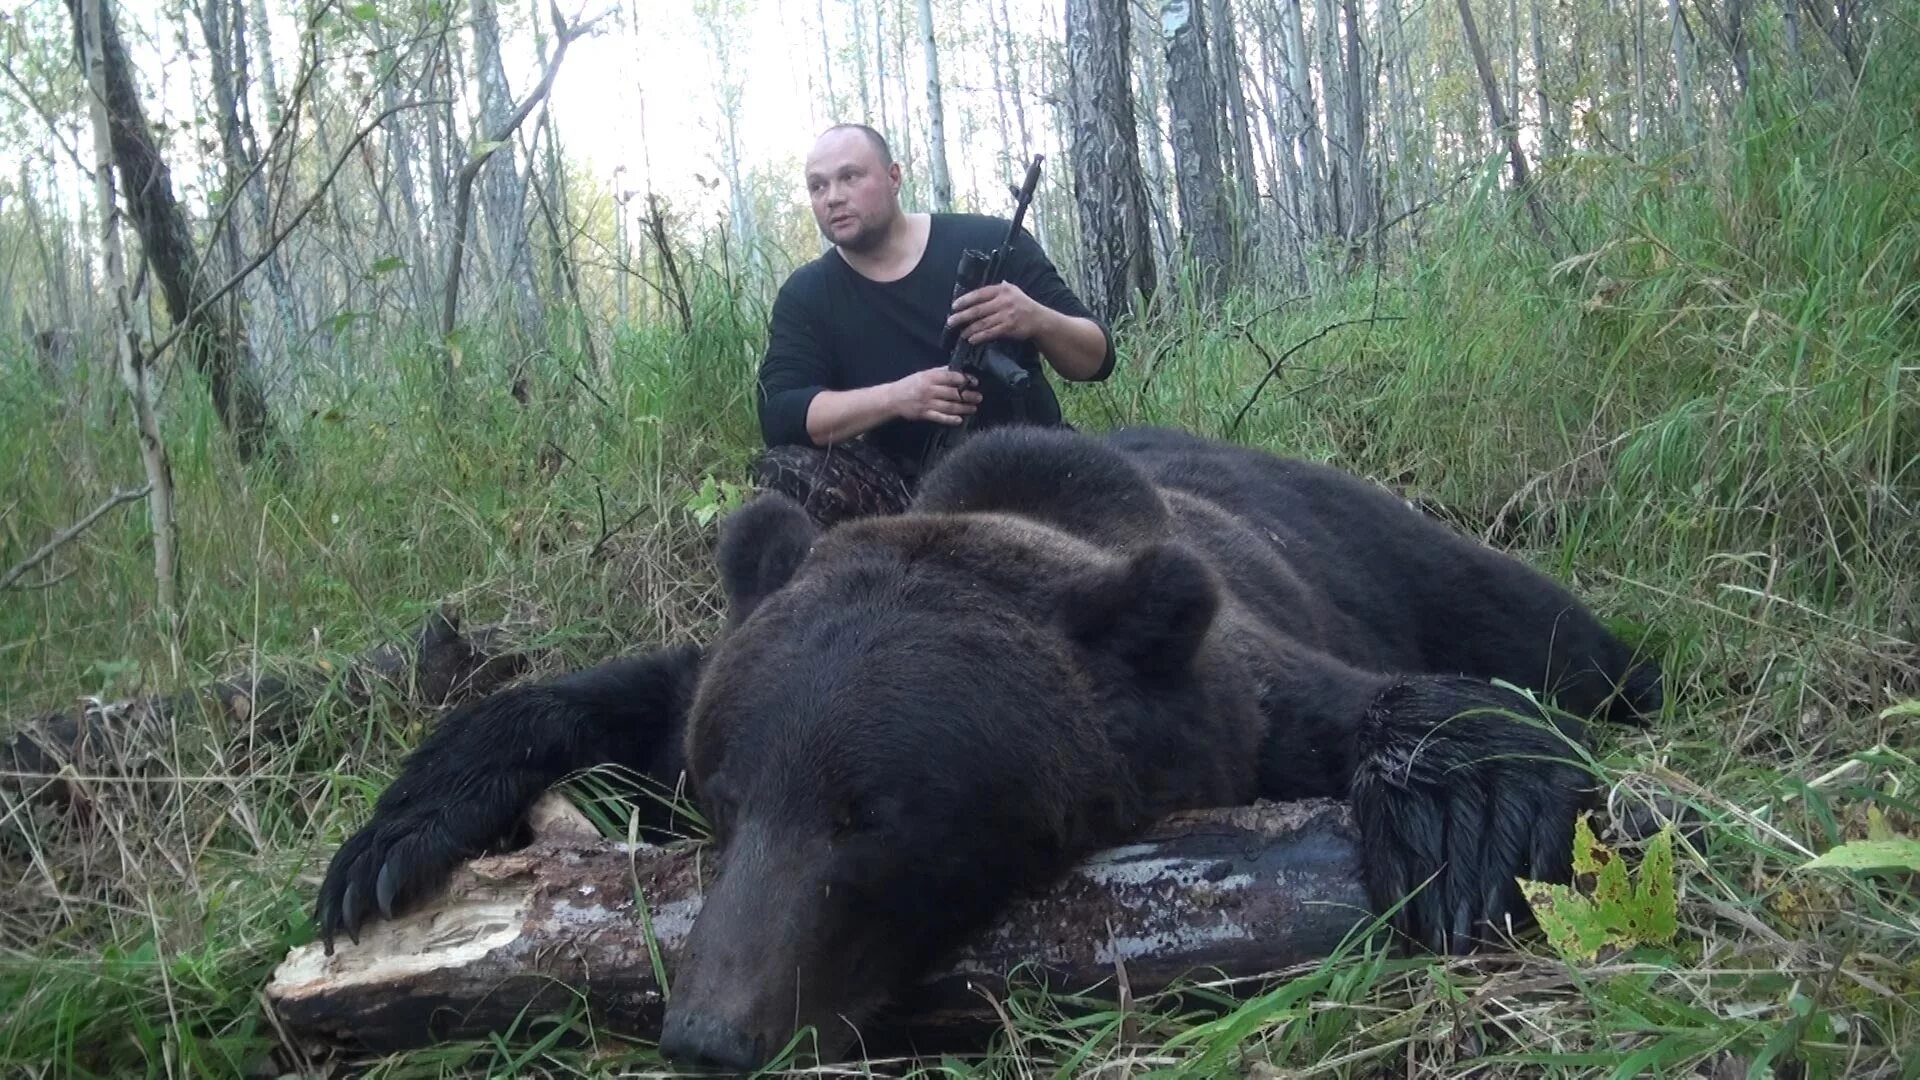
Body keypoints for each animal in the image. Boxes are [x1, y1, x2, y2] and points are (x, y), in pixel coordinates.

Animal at [311, 420, 1651, 1068]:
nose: (709, 1039)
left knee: (1556, 630)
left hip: (1397, 546)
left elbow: (1429, 712)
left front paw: (1471, 834)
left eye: (875, 818)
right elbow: (606, 695)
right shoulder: (711, 683)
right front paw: (387, 845)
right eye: (728, 799)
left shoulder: (1246, 703)